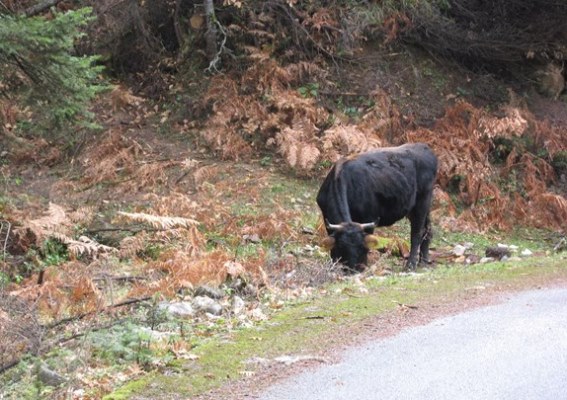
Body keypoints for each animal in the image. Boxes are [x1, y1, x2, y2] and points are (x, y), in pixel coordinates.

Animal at [318, 142, 438, 270]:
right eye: (342, 246)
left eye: (362, 247)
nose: (354, 269)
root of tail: (424, 147)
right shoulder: (327, 218)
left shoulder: (369, 218)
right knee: (427, 229)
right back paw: (424, 261)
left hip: (423, 201)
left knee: (417, 232)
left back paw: (411, 264)